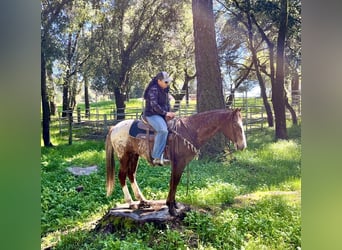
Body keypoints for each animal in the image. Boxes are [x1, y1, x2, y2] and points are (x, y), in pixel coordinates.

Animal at [104, 108, 246, 216]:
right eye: (235, 125)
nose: (242, 146)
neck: (190, 130)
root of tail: (114, 127)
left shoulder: (176, 163)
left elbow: (173, 182)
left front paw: (174, 205)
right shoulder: (179, 163)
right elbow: (175, 182)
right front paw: (171, 209)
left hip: (134, 156)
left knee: (131, 174)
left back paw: (143, 201)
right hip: (124, 156)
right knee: (122, 176)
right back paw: (131, 203)